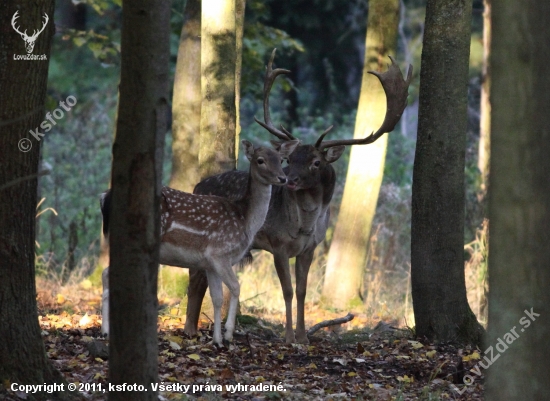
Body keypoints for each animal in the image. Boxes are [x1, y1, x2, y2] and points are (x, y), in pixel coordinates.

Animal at [99, 139, 298, 346]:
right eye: (260, 160)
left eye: (281, 159)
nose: (283, 178)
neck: (245, 220)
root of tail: (105, 197)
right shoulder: (220, 253)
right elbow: (236, 287)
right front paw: (228, 334)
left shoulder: (209, 263)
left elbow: (217, 298)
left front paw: (217, 340)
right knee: (108, 273)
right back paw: (107, 330)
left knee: (105, 273)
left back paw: (105, 331)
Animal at [187, 48, 414, 342]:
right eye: (290, 158)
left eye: (316, 162)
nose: (289, 180)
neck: (304, 224)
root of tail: (196, 186)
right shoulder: (278, 245)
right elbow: (287, 290)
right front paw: (288, 336)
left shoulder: (310, 249)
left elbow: (304, 291)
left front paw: (304, 336)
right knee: (194, 279)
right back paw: (190, 330)